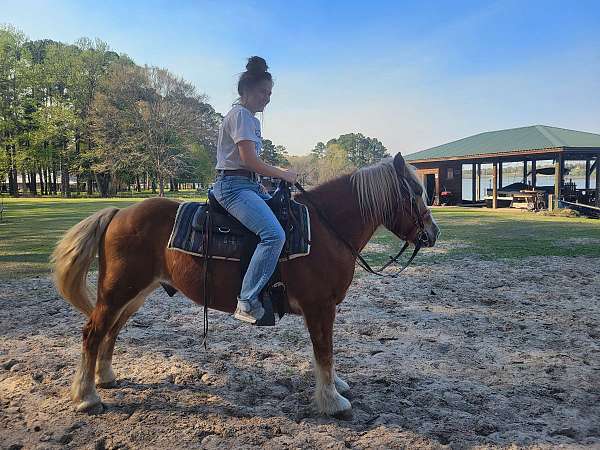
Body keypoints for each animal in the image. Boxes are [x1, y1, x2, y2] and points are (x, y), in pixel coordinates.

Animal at [51, 152, 440, 418]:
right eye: (416, 193)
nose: (433, 233)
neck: (323, 229)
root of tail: (119, 212)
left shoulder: (321, 309)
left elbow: (325, 352)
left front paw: (335, 387)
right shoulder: (319, 306)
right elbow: (324, 352)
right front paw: (332, 401)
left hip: (134, 293)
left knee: (111, 330)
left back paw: (105, 378)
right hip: (118, 290)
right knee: (93, 332)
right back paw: (87, 396)